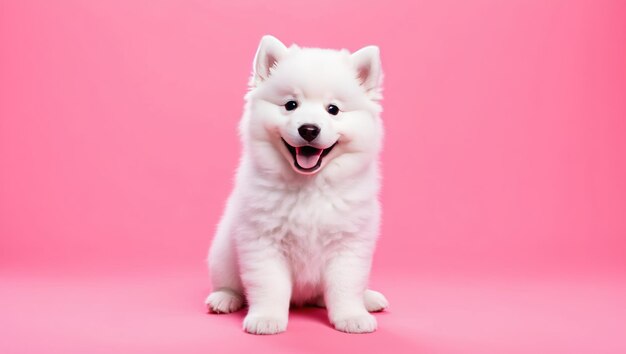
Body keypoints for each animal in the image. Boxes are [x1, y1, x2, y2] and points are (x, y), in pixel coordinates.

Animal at [205, 34, 386, 334]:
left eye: (333, 110)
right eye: (291, 105)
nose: (309, 129)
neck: (309, 186)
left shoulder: (348, 243)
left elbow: (345, 286)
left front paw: (352, 316)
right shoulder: (263, 241)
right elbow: (269, 285)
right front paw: (266, 318)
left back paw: (369, 299)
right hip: (223, 252)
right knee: (231, 284)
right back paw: (224, 298)